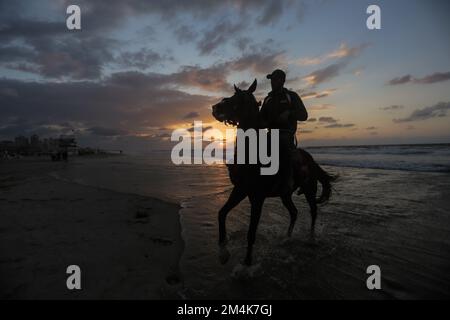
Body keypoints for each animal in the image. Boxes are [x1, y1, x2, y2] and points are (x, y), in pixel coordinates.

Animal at [211, 78, 334, 264]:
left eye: (238, 99)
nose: (215, 108)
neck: (252, 154)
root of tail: (310, 159)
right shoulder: (240, 190)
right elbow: (221, 213)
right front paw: (223, 251)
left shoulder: (257, 197)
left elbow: (251, 233)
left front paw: (247, 264)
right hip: (285, 194)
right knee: (294, 212)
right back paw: (287, 238)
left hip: (309, 189)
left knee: (313, 211)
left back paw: (311, 238)